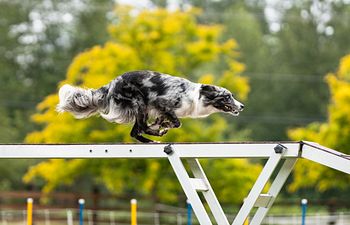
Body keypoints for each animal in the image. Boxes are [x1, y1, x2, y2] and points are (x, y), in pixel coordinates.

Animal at [56, 71, 243, 142]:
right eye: (227, 96)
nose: (241, 106)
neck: (195, 97)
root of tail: (112, 83)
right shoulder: (162, 103)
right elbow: (176, 122)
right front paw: (161, 127)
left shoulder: (160, 111)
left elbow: (166, 121)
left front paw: (161, 125)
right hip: (140, 103)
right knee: (138, 129)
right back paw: (154, 136)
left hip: (143, 108)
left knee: (135, 132)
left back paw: (151, 139)